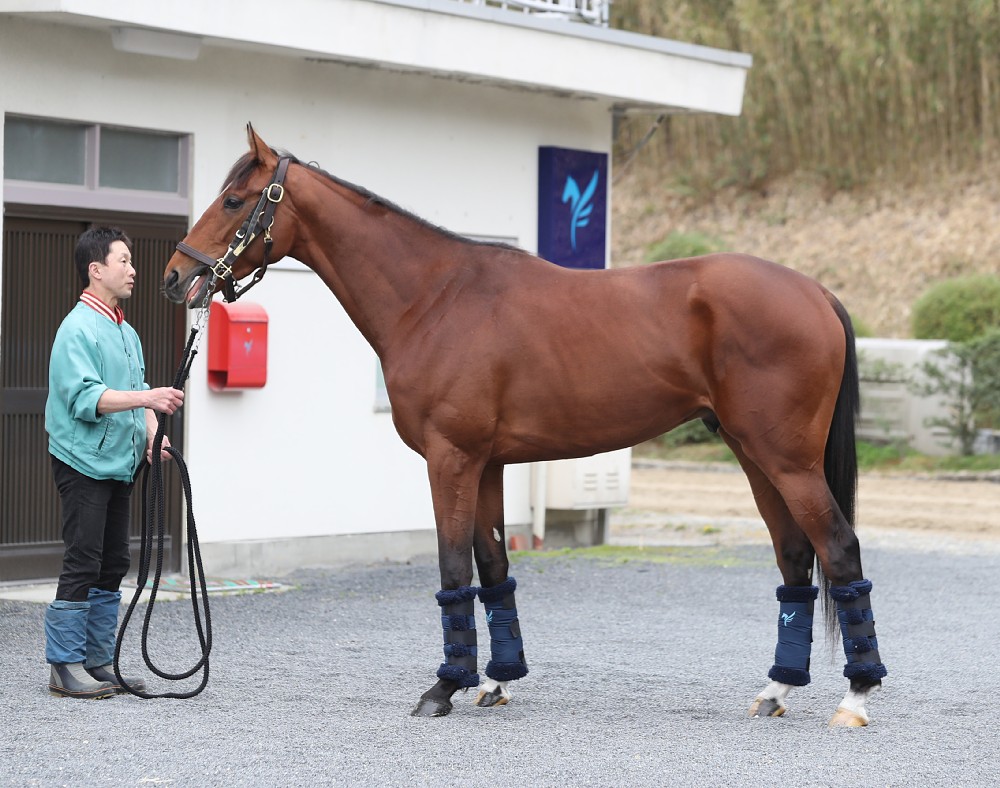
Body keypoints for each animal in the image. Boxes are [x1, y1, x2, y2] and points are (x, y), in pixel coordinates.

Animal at [166, 124, 892, 728]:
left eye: (234, 200)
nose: (178, 278)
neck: (434, 298)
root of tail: (817, 293)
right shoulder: (487, 464)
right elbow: (493, 566)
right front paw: (496, 680)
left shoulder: (450, 459)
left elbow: (453, 565)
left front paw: (444, 687)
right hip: (752, 453)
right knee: (795, 557)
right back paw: (777, 689)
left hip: (787, 459)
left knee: (838, 549)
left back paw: (855, 697)